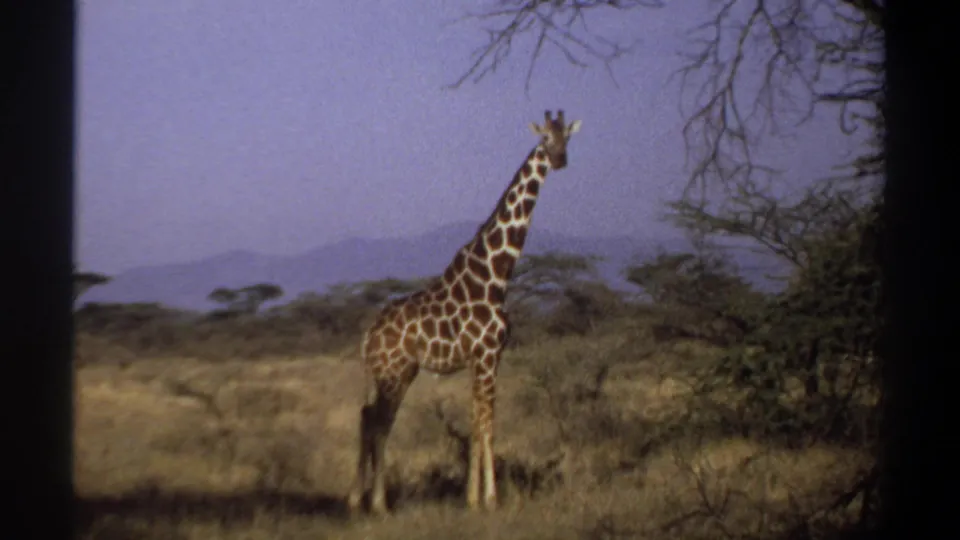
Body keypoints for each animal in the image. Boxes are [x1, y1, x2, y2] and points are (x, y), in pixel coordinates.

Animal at [346, 110, 582, 515]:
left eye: (566, 137)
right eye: (544, 140)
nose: (560, 160)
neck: (495, 274)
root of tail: (368, 335)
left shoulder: (486, 358)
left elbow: (478, 421)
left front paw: (474, 496)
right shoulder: (486, 354)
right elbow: (486, 423)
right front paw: (488, 498)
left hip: (396, 373)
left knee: (370, 419)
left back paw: (359, 499)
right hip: (392, 374)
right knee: (378, 424)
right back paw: (376, 503)